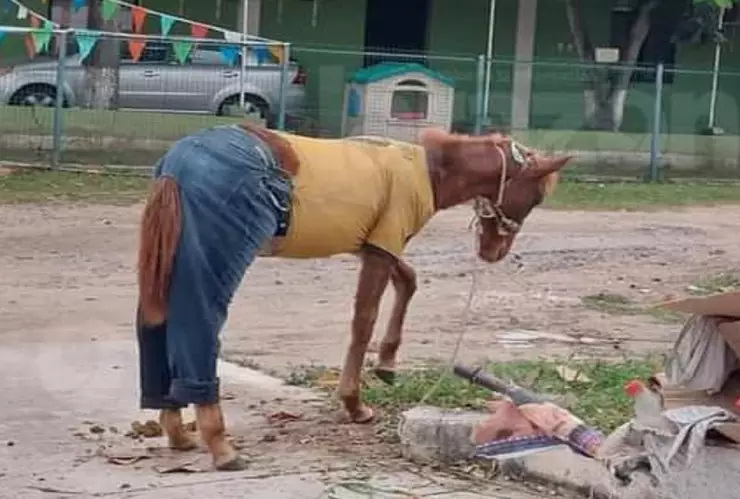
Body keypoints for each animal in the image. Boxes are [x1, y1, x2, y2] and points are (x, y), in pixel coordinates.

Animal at [135, 122, 571, 471]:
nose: (494, 253)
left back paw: (177, 431)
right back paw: (220, 445)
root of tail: (179, 163)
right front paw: (355, 404)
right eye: (536, 197)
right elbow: (363, 321)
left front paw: (388, 364)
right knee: (198, 322)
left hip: (167, 258)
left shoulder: (374, 243)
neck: (429, 169)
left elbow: (409, 281)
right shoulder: (381, 247)